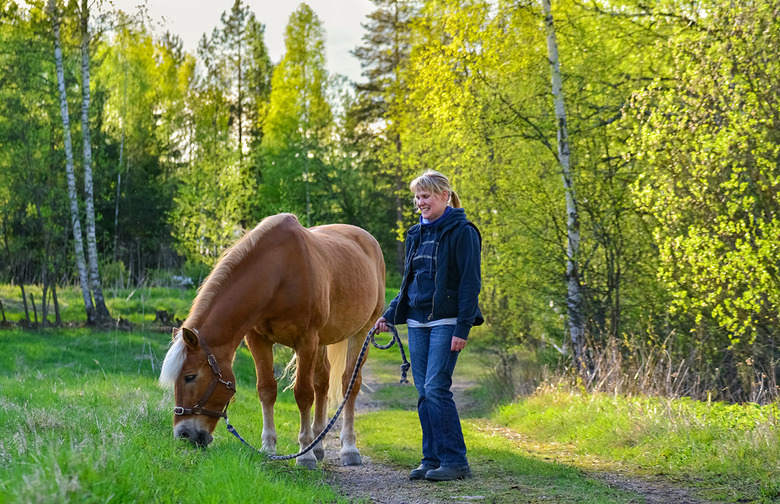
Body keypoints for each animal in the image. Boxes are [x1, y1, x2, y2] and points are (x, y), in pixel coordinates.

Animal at [159, 213, 385, 468]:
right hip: (323, 341)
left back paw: (348, 448)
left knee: (349, 384)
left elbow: (303, 394)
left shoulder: (306, 341)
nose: (183, 434)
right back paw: (318, 445)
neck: (279, 276)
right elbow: (266, 389)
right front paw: (269, 447)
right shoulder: (258, 339)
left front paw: (304, 454)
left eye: (190, 377)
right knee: (322, 382)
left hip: (362, 333)